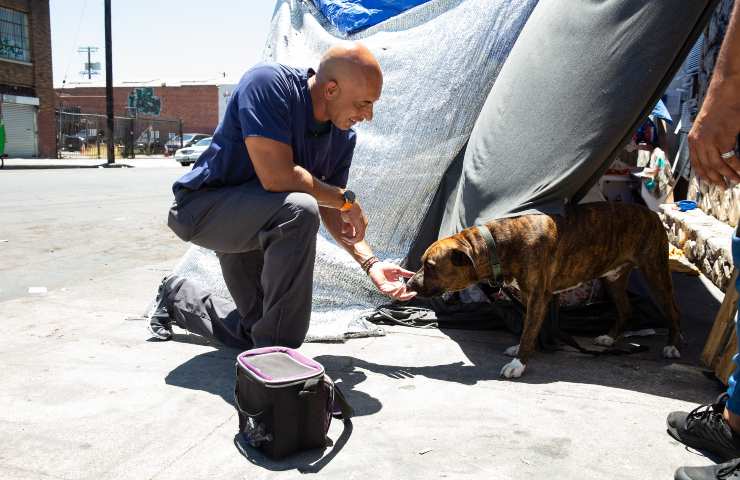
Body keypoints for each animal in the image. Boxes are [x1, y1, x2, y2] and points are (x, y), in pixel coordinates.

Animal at [404, 202, 684, 378]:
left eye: (430, 266)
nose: (409, 284)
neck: (499, 245)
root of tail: (653, 214)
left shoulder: (538, 296)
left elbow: (529, 330)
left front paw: (518, 363)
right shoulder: (531, 297)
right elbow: (531, 329)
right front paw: (522, 350)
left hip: (655, 272)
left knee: (672, 310)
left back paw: (671, 346)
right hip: (613, 277)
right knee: (625, 309)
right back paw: (609, 337)